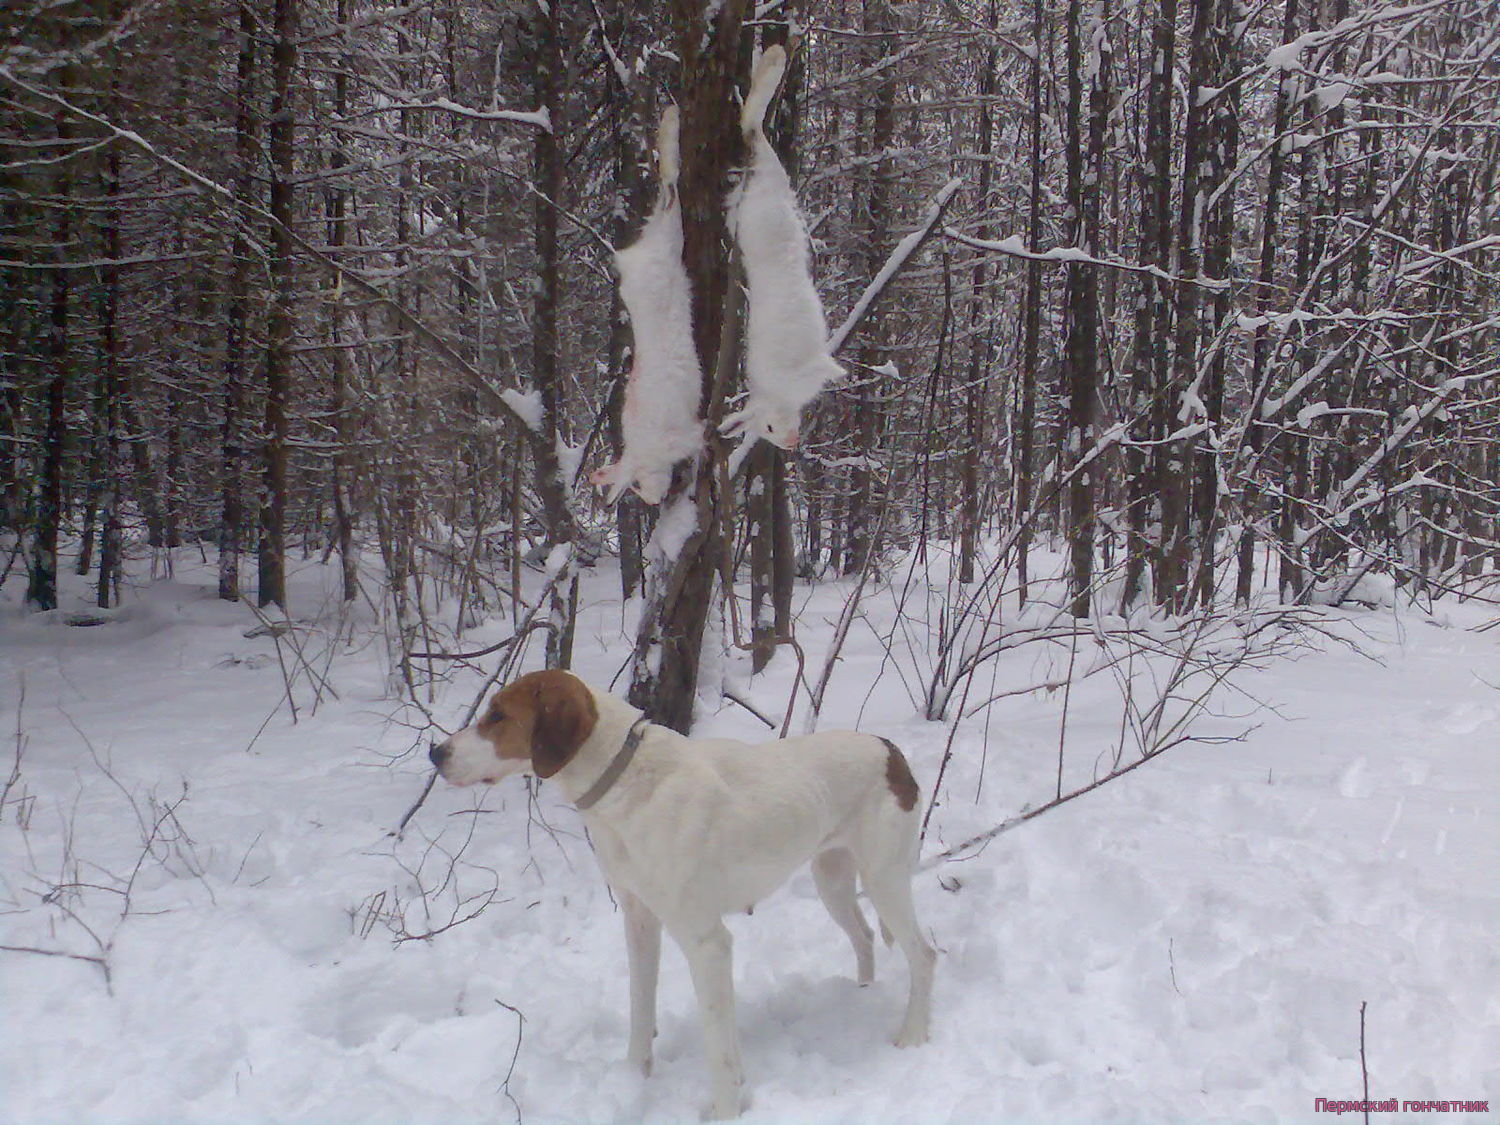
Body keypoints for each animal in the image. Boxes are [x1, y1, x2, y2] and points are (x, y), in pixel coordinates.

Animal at [429, 669, 930, 1122]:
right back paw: (861, 994)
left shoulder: (706, 943)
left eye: (497, 715)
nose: (436, 752)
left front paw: (727, 1111)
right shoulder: (639, 921)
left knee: (925, 954)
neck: (626, 779)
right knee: (865, 936)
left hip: (885, 880)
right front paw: (633, 1079)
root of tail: (889, 748)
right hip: (832, 880)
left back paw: (914, 1037)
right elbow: (640, 1007)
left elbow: (719, 1051)